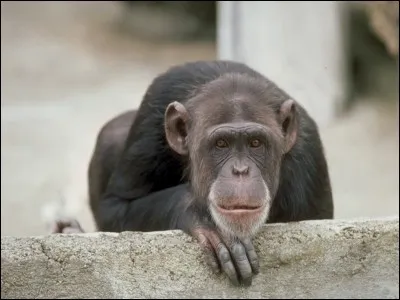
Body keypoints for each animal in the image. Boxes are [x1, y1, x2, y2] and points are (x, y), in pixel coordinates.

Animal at [54, 60, 334, 286]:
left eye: (256, 143)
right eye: (221, 144)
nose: (240, 170)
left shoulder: (308, 166)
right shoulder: (152, 117)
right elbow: (115, 207)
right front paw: (202, 216)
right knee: (112, 134)